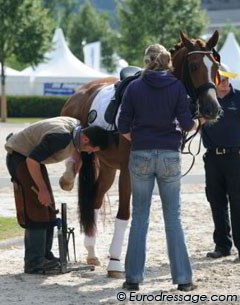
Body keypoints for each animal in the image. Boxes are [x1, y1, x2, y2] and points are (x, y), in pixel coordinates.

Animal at [60, 30, 221, 276]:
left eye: (216, 66)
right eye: (194, 66)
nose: (212, 109)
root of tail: (81, 91)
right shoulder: (129, 171)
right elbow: (125, 213)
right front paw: (115, 261)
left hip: (107, 166)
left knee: (95, 199)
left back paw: (91, 250)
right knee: (73, 158)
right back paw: (67, 178)